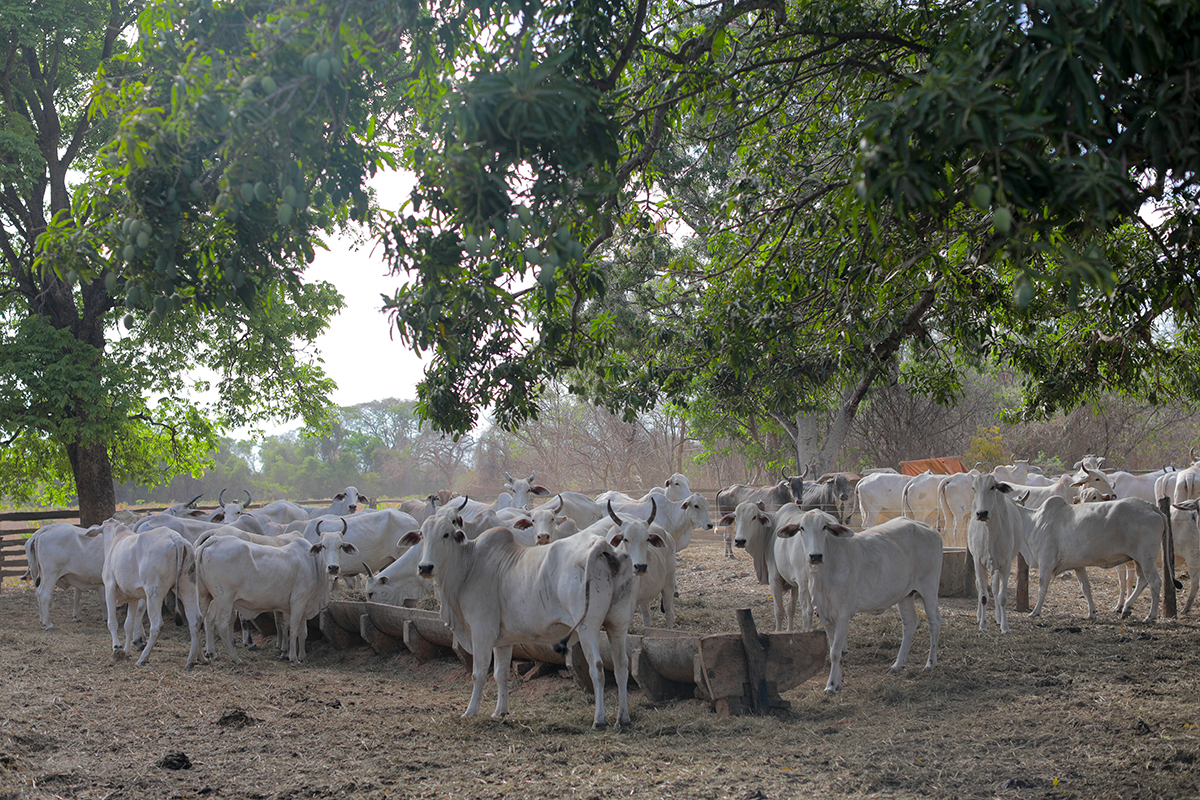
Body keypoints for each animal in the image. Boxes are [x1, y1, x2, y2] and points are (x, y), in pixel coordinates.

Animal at [400, 510, 638, 729]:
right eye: (422, 535)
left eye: (446, 534)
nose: (425, 567)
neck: (468, 565)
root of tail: (602, 546)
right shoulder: (503, 641)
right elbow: (500, 674)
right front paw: (500, 711)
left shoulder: (481, 630)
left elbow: (479, 673)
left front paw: (470, 711)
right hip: (617, 625)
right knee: (621, 666)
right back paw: (623, 719)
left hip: (588, 628)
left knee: (597, 668)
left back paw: (599, 720)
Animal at [787, 513, 945, 695]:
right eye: (802, 528)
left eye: (824, 527)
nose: (815, 556)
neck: (823, 574)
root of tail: (924, 527)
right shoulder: (824, 613)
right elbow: (834, 647)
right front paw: (837, 681)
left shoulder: (843, 614)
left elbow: (835, 652)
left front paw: (831, 685)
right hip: (905, 594)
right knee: (910, 623)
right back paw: (898, 664)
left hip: (929, 586)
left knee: (934, 621)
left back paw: (930, 663)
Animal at [1022, 496, 1161, 623]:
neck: (1034, 522)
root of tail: (1150, 506)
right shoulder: (1078, 565)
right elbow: (1086, 588)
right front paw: (1092, 613)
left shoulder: (1046, 561)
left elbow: (1042, 587)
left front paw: (1035, 612)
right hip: (1139, 560)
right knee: (1142, 580)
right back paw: (1126, 608)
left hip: (1146, 558)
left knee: (1154, 582)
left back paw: (1150, 616)